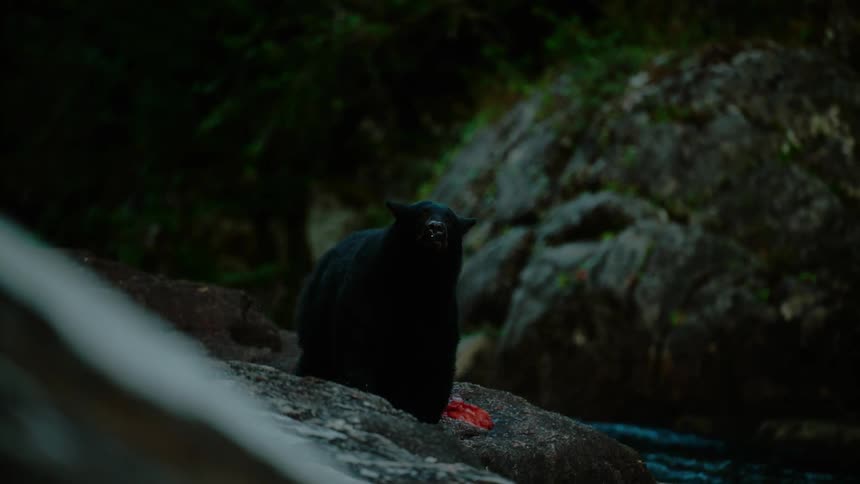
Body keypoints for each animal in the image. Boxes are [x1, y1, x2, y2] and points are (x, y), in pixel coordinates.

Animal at [295, 200, 476, 423]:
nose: (435, 228)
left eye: (449, 219)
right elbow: (359, 343)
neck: (421, 274)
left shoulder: (439, 305)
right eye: (421, 214)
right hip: (317, 310)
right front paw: (363, 389)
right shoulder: (368, 288)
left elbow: (437, 355)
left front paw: (425, 411)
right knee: (316, 352)